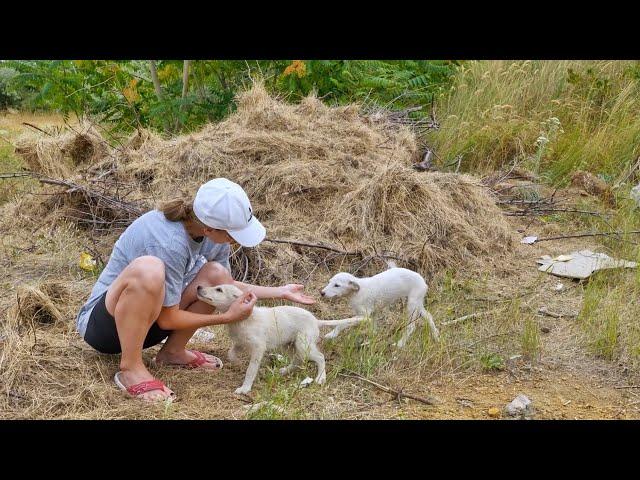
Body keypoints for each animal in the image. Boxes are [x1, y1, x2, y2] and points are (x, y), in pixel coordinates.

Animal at [195, 284, 364, 394]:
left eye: (219, 289)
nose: (198, 287)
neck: (245, 318)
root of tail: (316, 320)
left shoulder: (258, 348)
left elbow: (251, 370)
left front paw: (245, 388)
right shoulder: (240, 342)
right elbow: (231, 353)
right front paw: (235, 361)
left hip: (303, 344)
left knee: (320, 357)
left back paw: (321, 377)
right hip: (289, 345)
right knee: (298, 360)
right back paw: (285, 370)